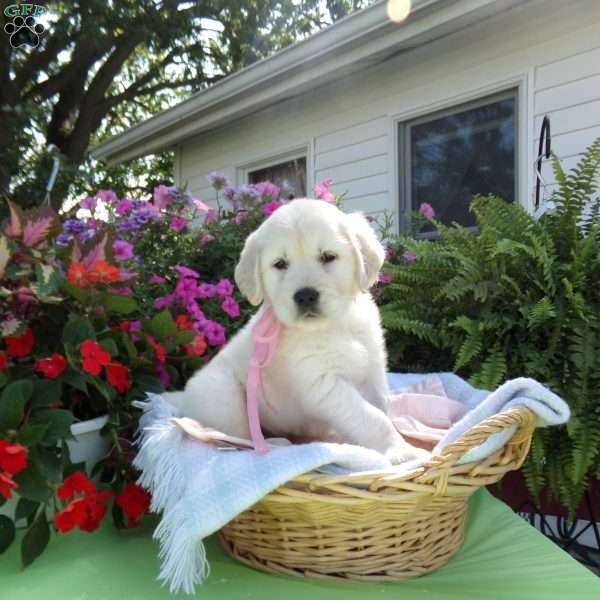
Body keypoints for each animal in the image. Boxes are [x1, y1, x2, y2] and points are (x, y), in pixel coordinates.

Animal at [166, 199, 424, 462]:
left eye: (328, 256)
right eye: (280, 264)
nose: (305, 295)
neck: (334, 325)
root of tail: (183, 397)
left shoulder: (372, 370)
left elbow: (381, 407)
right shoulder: (322, 383)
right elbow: (372, 417)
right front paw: (402, 450)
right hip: (223, 396)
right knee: (238, 436)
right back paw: (276, 442)